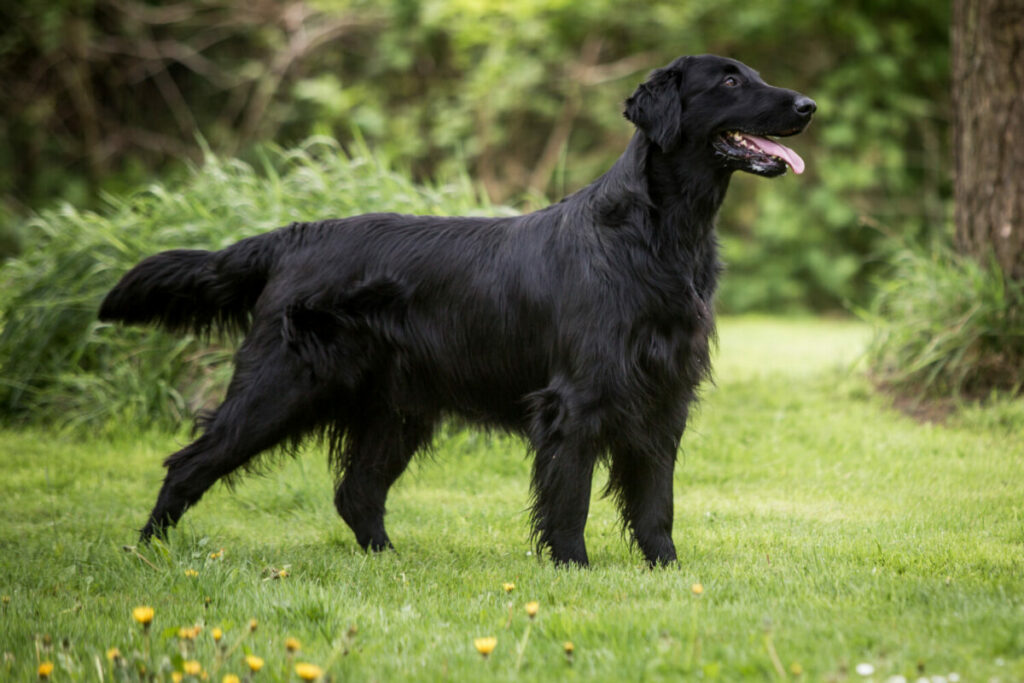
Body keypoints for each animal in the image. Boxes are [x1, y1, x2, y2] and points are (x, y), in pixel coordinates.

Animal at [97, 52, 815, 565]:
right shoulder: (577, 401)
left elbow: (655, 502)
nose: (809, 105)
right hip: (279, 384)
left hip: (395, 410)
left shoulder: (666, 396)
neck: (659, 234)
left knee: (356, 493)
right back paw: (148, 552)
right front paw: (573, 569)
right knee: (189, 464)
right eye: (730, 80)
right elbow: (570, 501)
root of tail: (296, 234)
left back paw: (390, 562)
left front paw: (667, 570)